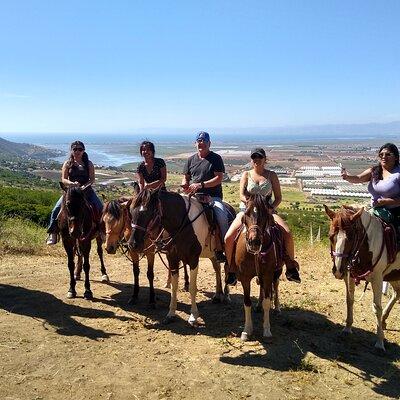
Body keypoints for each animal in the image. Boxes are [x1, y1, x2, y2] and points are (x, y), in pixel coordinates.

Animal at [128, 188, 234, 324]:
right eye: (131, 212)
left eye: (148, 213)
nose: (133, 244)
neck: (183, 223)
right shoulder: (172, 258)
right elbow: (174, 287)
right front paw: (171, 314)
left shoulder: (193, 260)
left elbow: (193, 288)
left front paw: (193, 316)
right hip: (212, 254)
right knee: (217, 268)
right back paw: (217, 295)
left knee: (226, 268)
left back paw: (226, 295)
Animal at [234, 194, 284, 340]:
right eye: (246, 213)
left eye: (266, 214)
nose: (254, 242)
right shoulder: (244, 277)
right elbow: (247, 302)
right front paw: (246, 330)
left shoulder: (268, 275)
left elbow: (267, 301)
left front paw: (267, 330)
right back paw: (258, 306)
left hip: (277, 271)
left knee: (276, 285)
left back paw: (277, 308)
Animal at [324, 205, 400, 352]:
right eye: (330, 236)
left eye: (351, 237)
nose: (338, 271)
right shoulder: (349, 275)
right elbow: (349, 300)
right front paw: (347, 328)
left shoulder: (377, 278)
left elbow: (376, 307)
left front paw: (380, 342)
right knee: (396, 294)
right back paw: (384, 319)